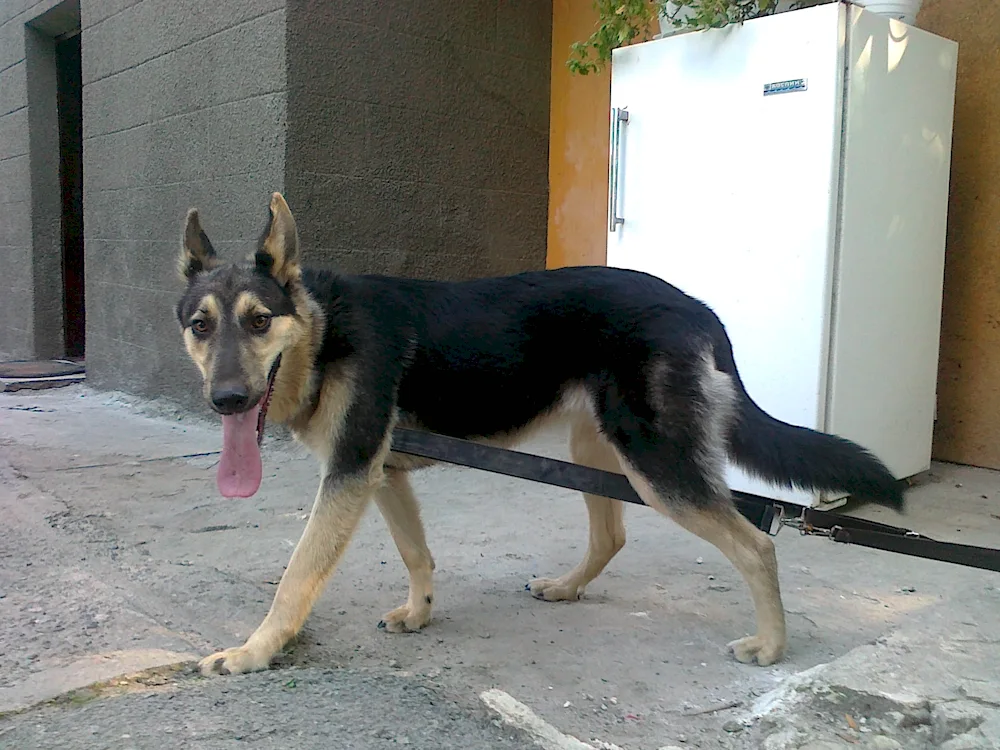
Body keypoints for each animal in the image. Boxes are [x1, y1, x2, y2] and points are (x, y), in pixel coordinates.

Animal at [176, 192, 904, 676]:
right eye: (201, 326)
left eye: (260, 320)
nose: (227, 400)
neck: (323, 334)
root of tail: (699, 310)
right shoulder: (378, 476)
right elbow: (417, 553)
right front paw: (420, 612)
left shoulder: (349, 476)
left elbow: (297, 575)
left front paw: (254, 650)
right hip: (597, 450)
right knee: (612, 535)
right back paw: (568, 586)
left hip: (656, 464)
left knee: (757, 545)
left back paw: (772, 645)